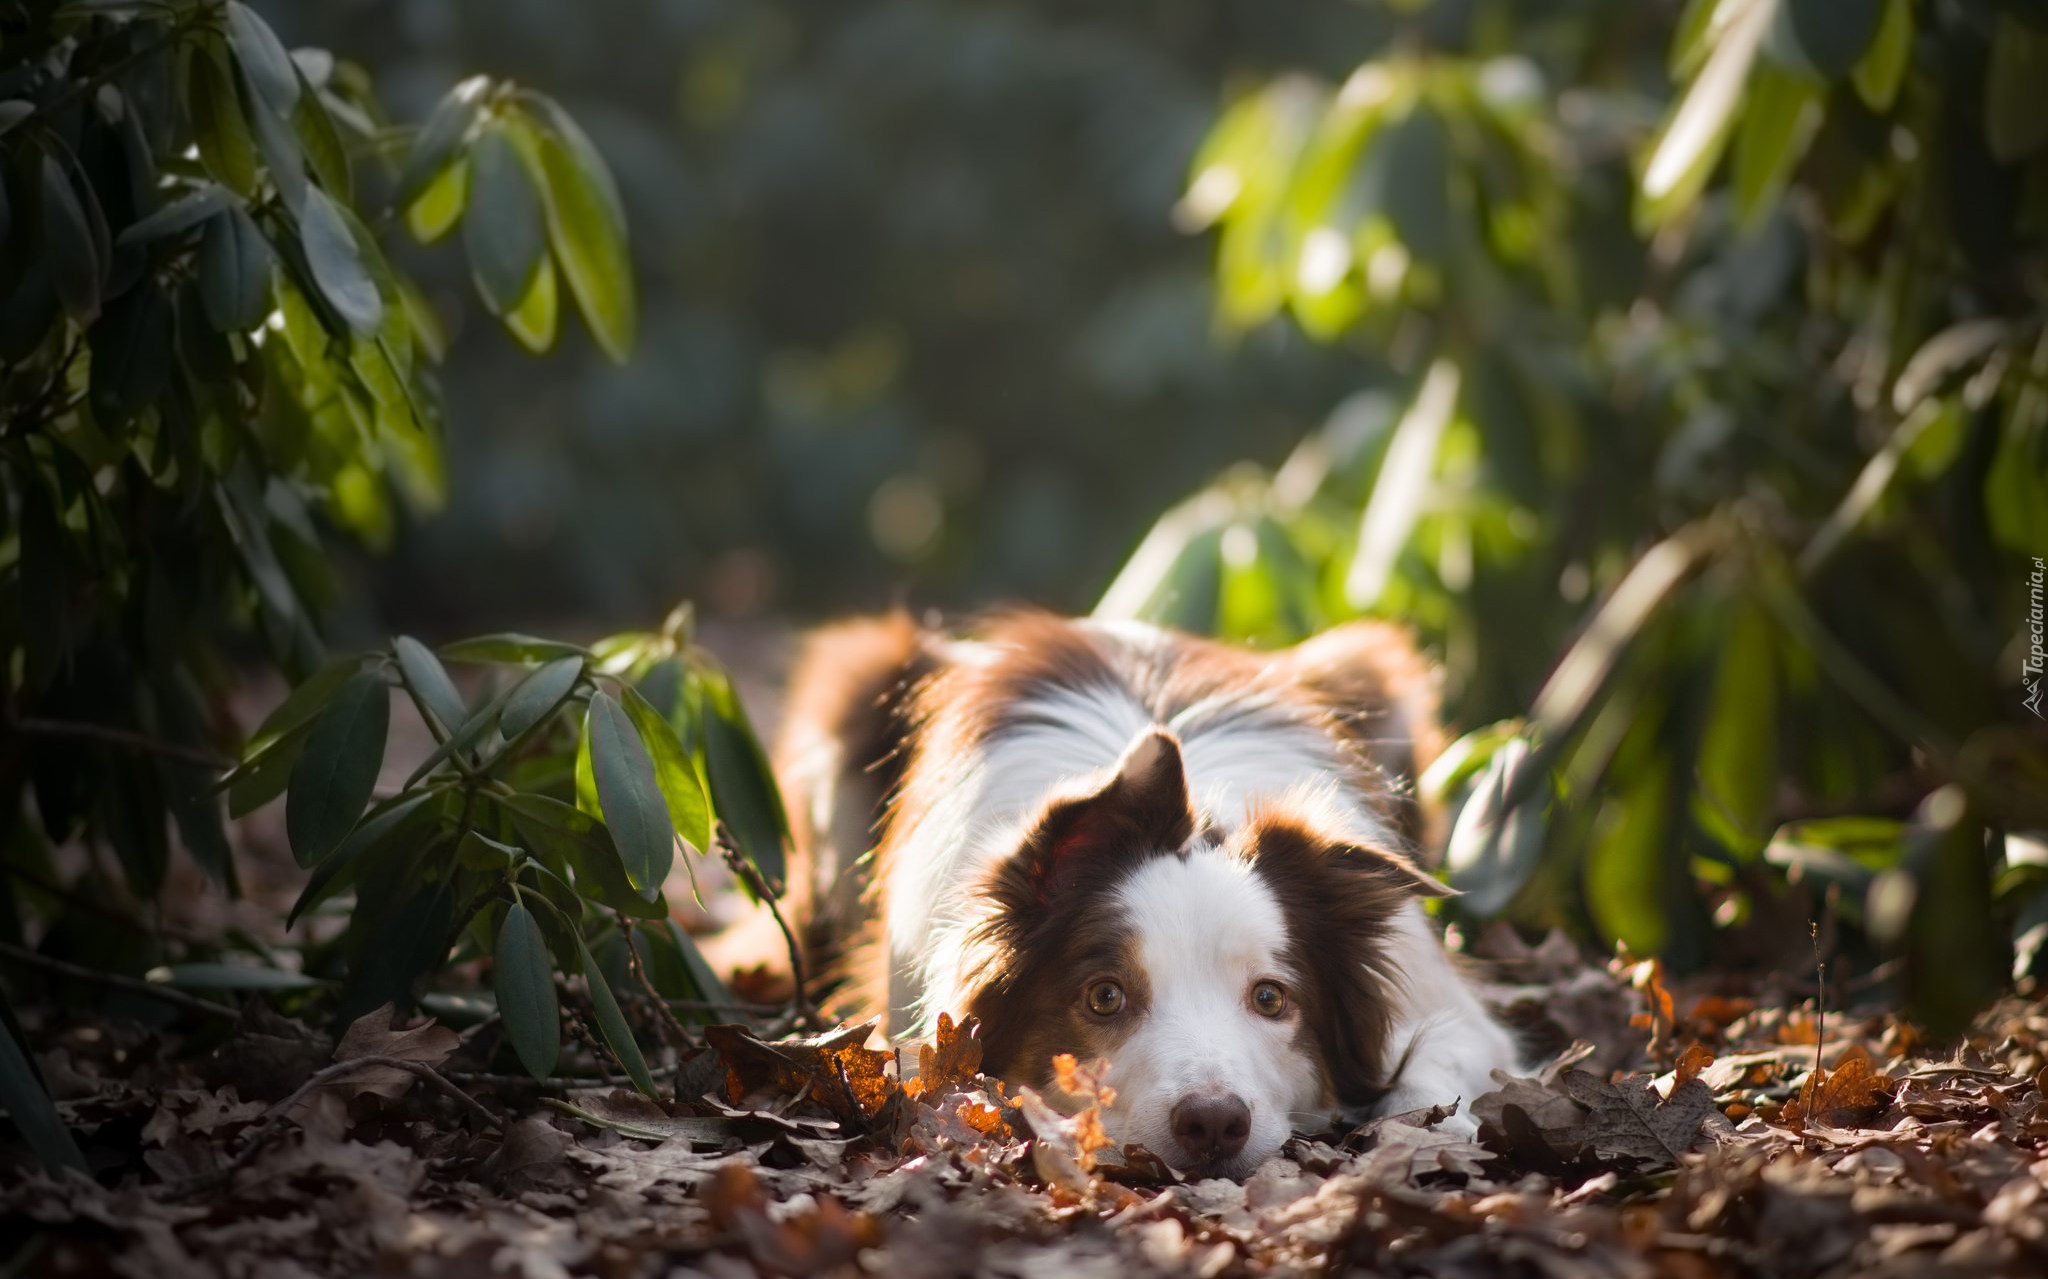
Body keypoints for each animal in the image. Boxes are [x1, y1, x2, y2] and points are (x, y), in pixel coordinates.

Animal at [770, 609, 1523, 1178]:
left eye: (1271, 998)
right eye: (1105, 996)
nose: (1213, 1123)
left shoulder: (1451, 1008)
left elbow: (1441, 1065)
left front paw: (1432, 1134)